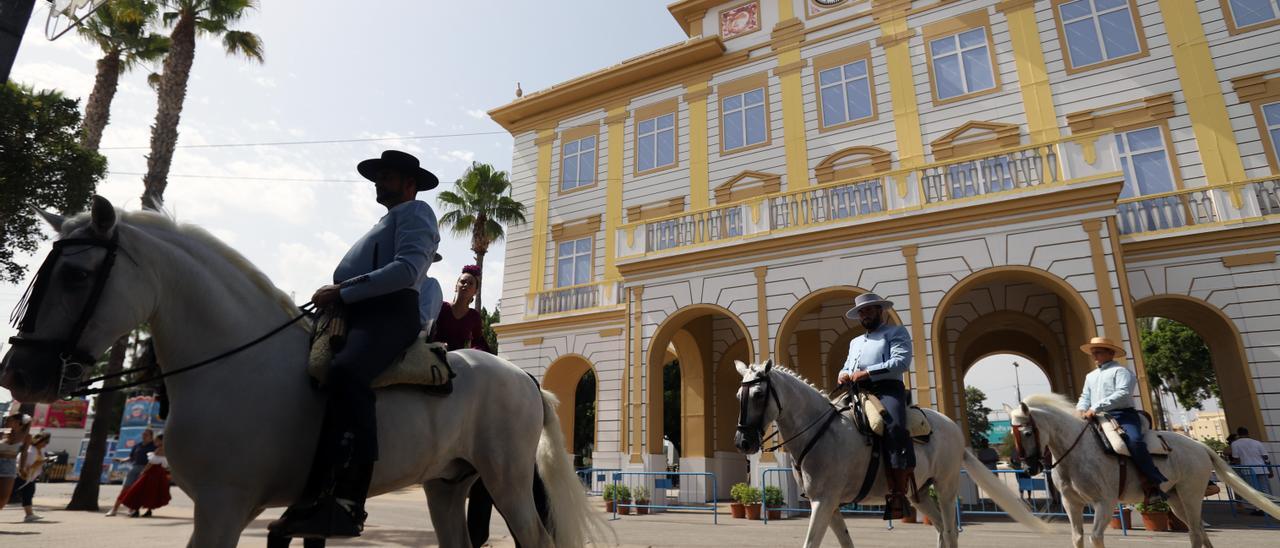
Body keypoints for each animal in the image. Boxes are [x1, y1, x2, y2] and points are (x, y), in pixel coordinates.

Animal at [0, 198, 609, 548]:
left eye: (76, 275)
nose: (19, 372)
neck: (236, 364)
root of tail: (524, 378)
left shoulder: (222, 507)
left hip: (506, 481)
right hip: (446, 484)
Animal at [732, 358, 1049, 548]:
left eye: (758, 394)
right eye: (738, 396)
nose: (743, 442)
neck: (820, 432)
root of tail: (953, 426)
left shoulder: (825, 500)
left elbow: (810, 543)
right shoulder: (827, 503)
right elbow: (846, 543)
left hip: (945, 487)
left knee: (950, 530)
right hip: (917, 492)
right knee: (941, 529)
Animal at [1008, 394, 1280, 548]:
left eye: (1028, 432)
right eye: (1013, 433)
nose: (1028, 468)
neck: (1076, 452)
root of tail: (1201, 447)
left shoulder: (1105, 502)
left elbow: (1096, 538)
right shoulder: (1071, 503)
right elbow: (1077, 538)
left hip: (1191, 493)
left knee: (1194, 532)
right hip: (1175, 498)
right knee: (1199, 530)